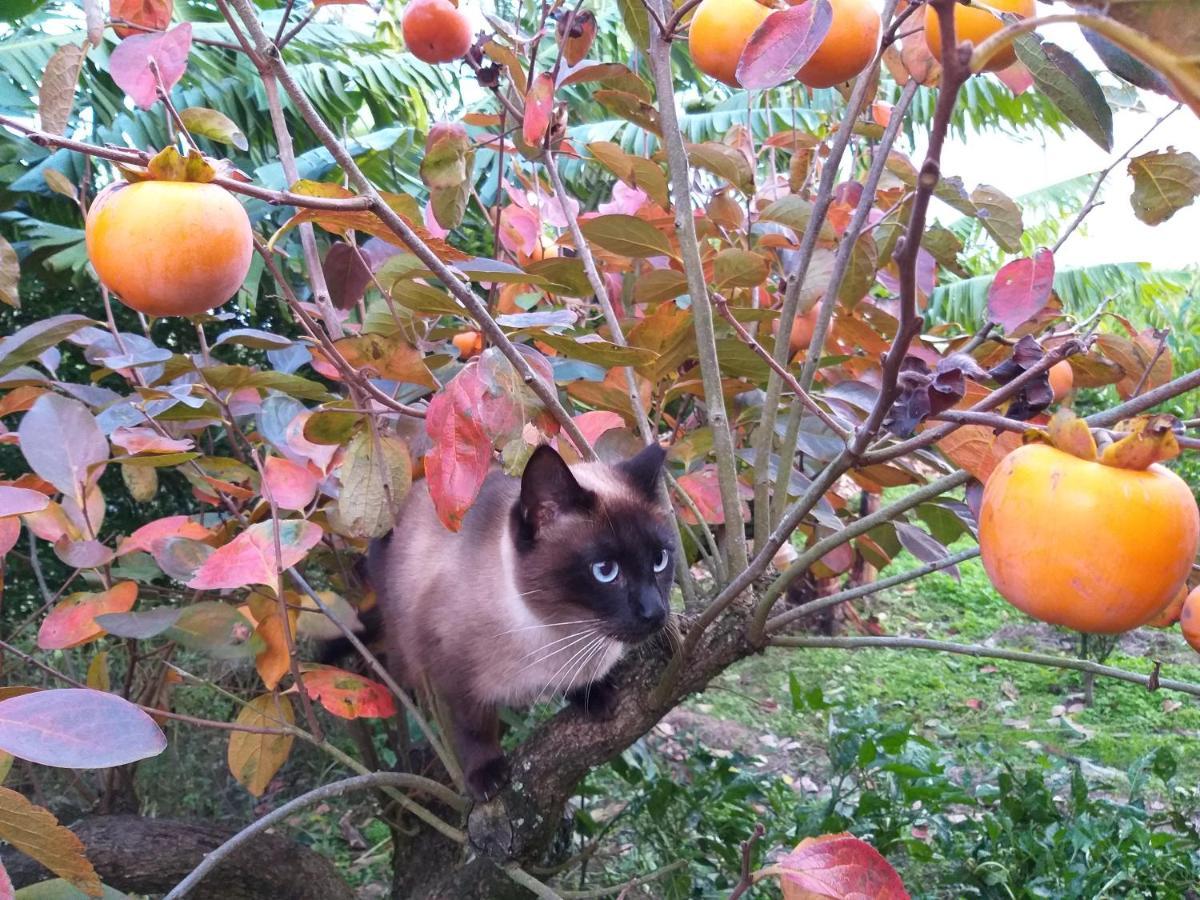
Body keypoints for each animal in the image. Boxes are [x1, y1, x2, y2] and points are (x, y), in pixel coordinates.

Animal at [369, 441, 676, 801]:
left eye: (659, 560)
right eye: (605, 571)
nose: (655, 612)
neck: (560, 634)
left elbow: (582, 683)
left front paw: (593, 694)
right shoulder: (455, 679)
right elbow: (473, 729)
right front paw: (486, 775)